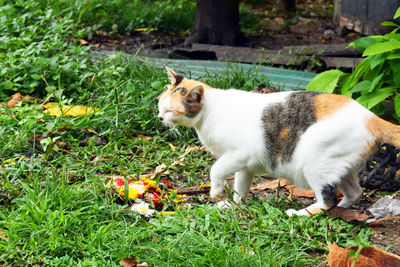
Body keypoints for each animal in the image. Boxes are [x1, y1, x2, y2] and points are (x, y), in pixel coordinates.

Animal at [158, 67, 398, 218]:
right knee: (355, 191)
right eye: (160, 104)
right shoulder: (244, 165)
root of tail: (369, 116)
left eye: (169, 110)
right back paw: (343, 207)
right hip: (341, 165)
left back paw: (301, 214)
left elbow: (215, 169)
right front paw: (234, 204)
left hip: (316, 162)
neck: (210, 111)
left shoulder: (240, 153)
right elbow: (240, 186)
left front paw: (216, 192)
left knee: (326, 200)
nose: (160, 117)